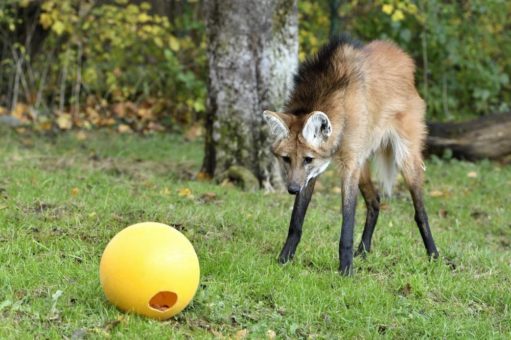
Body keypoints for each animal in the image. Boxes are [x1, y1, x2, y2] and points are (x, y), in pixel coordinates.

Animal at [264, 36, 440, 276]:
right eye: (286, 159)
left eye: (307, 159)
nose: (292, 189)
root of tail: (402, 55)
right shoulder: (313, 174)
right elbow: (296, 221)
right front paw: (284, 259)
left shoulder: (346, 165)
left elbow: (347, 222)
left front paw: (346, 270)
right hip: (362, 162)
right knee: (375, 201)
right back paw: (363, 251)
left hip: (404, 157)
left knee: (419, 211)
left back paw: (434, 256)